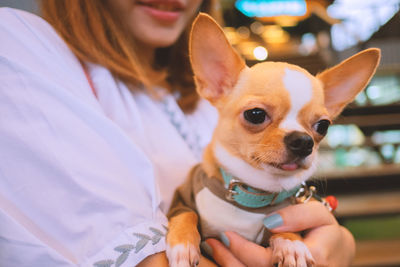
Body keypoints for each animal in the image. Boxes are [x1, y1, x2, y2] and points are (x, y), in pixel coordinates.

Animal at [166, 13, 382, 266]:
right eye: (255, 114)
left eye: (323, 126)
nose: (303, 141)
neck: (253, 194)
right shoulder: (182, 198)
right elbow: (185, 213)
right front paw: (182, 244)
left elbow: (285, 230)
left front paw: (291, 244)